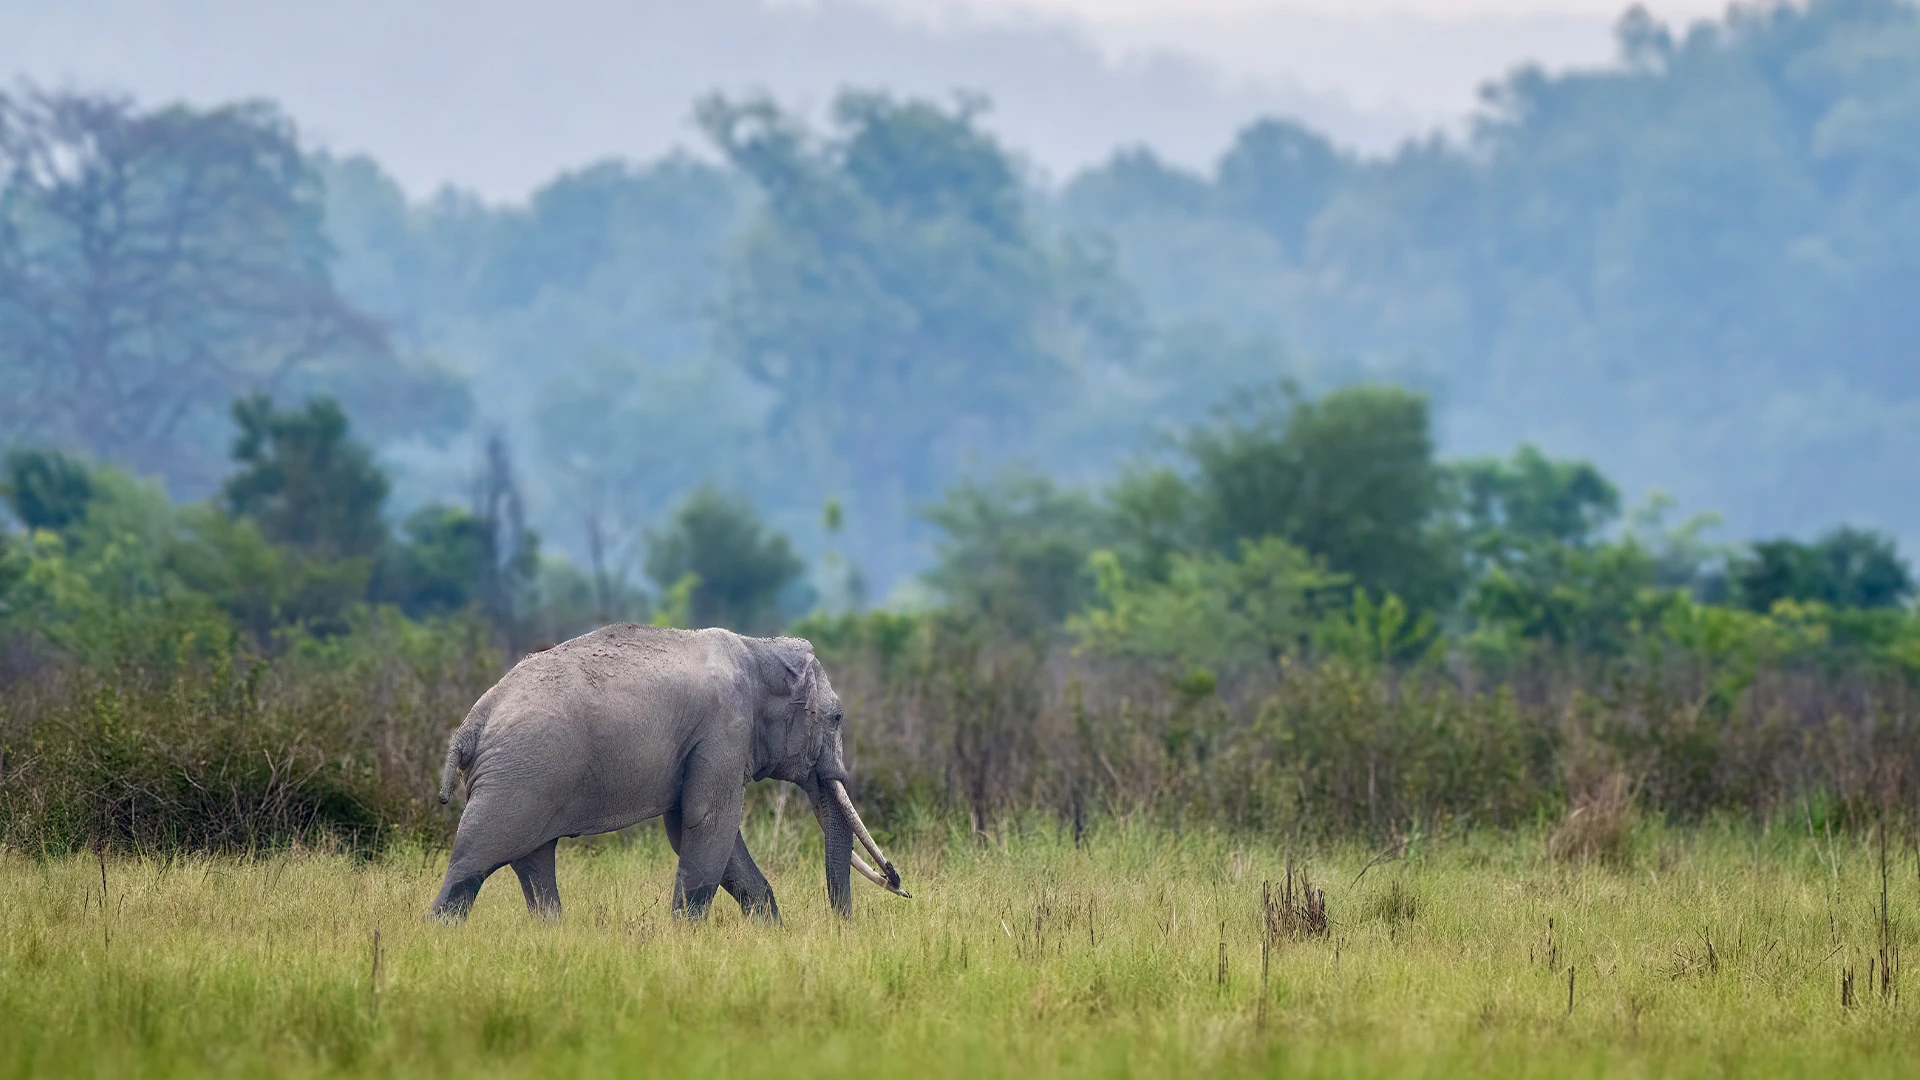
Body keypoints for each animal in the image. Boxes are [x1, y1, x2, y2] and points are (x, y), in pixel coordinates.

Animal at [432, 622, 910, 914]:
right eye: (837, 718)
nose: (900, 883)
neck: (760, 650)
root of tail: (473, 721)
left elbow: (695, 830)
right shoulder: (724, 730)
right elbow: (709, 825)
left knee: (533, 864)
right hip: (518, 776)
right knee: (473, 862)